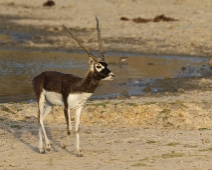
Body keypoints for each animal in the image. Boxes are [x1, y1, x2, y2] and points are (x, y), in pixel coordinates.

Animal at [31, 17, 114, 157]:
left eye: (106, 64)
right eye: (98, 66)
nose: (112, 75)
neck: (78, 87)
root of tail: (38, 76)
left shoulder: (79, 107)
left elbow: (77, 129)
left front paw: (79, 151)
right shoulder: (66, 107)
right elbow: (69, 129)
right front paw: (63, 146)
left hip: (50, 104)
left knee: (40, 118)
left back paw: (42, 148)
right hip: (41, 98)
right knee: (39, 118)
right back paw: (46, 147)